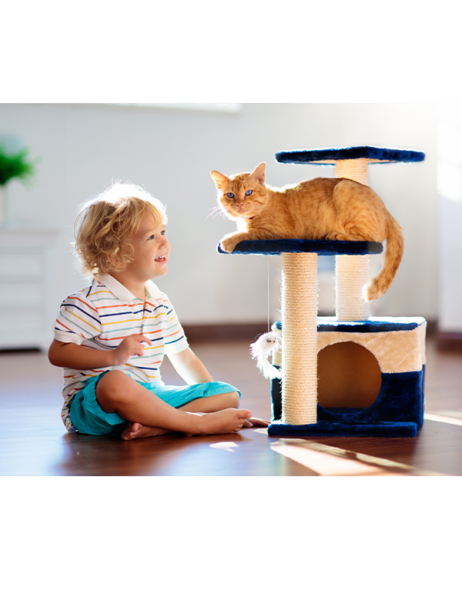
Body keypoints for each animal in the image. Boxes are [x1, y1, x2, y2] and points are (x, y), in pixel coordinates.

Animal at [212, 163, 404, 300]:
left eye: (248, 192)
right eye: (230, 195)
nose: (239, 204)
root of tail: (389, 213)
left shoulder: (278, 232)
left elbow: (247, 233)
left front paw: (227, 241)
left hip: (343, 188)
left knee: (368, 238)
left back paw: (336, 235)